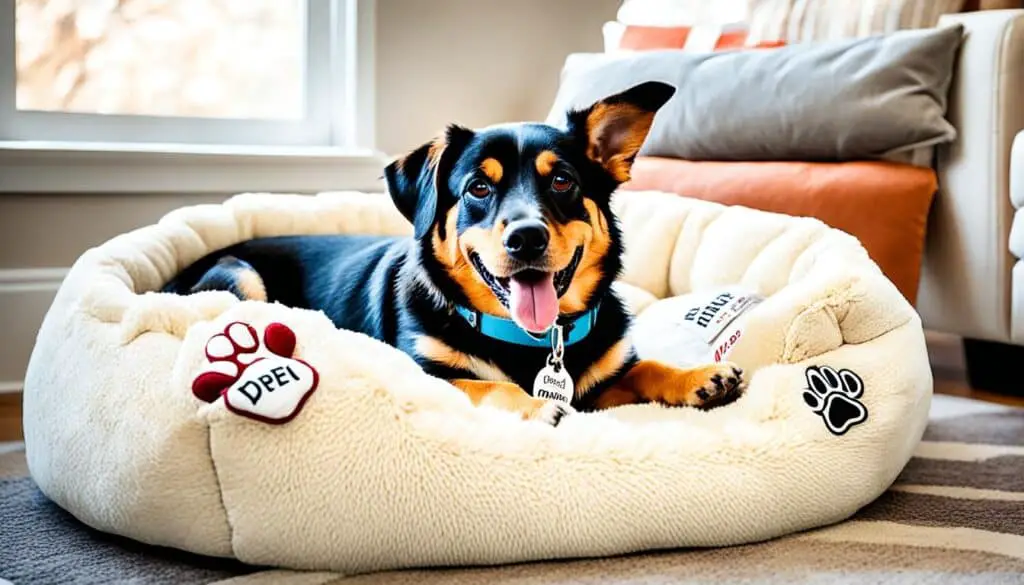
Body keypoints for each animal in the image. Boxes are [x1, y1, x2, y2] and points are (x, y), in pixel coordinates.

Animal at [165, 79, 745, 424]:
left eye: (562, 180)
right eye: (478, 189)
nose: (526, 237)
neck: (531, 340)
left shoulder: (601, 383)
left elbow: (644, 369)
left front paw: (698, 378)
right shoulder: (428, 375)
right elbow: (486, 387)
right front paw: (536, 408)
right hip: (239, 273)